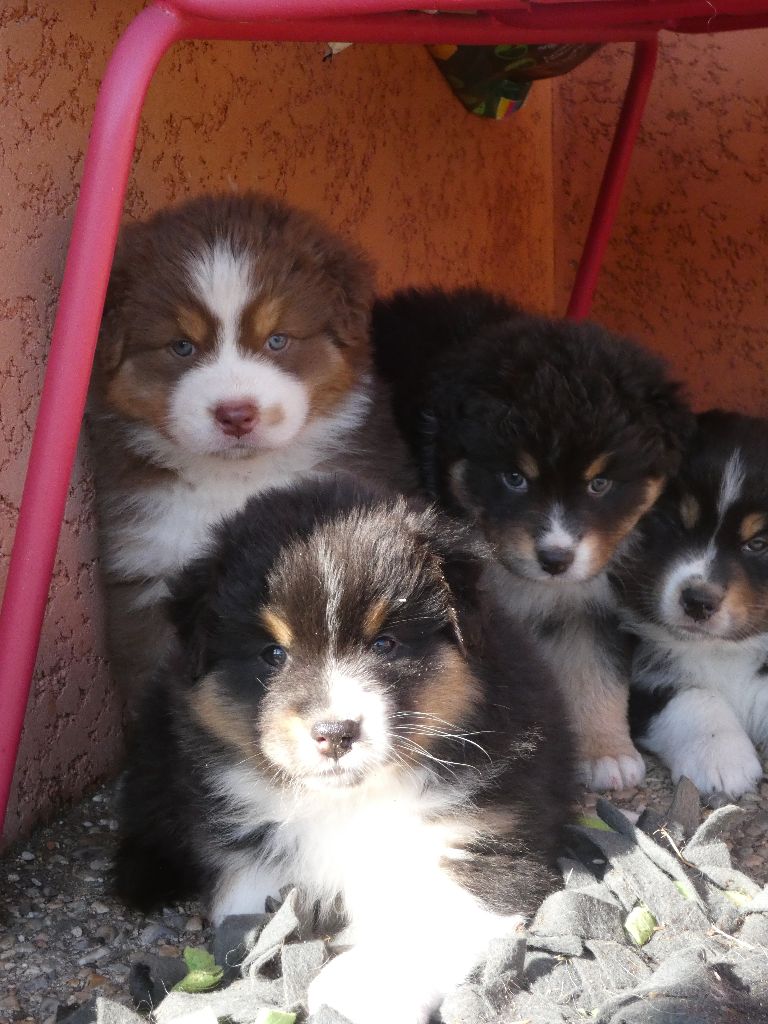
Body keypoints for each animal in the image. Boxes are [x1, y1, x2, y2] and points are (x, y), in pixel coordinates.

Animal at [115, 475, 577, 1024]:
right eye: (273, 654)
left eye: (386, 644)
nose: (335, 732)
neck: (349, 801)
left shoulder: (487, 844)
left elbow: (426, 918)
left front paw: (358, 988)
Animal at [372, 286, 692, 790]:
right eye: (514, 478)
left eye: (600, 484)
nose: (555, 559)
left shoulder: (592, 597)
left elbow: (595, 671)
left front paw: (607, 752)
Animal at [622, 411, 768, 802]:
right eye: (673, 522)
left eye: (758, 543)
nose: (698, 601)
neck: (724, 651)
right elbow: (691, 696)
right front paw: (722, 758)